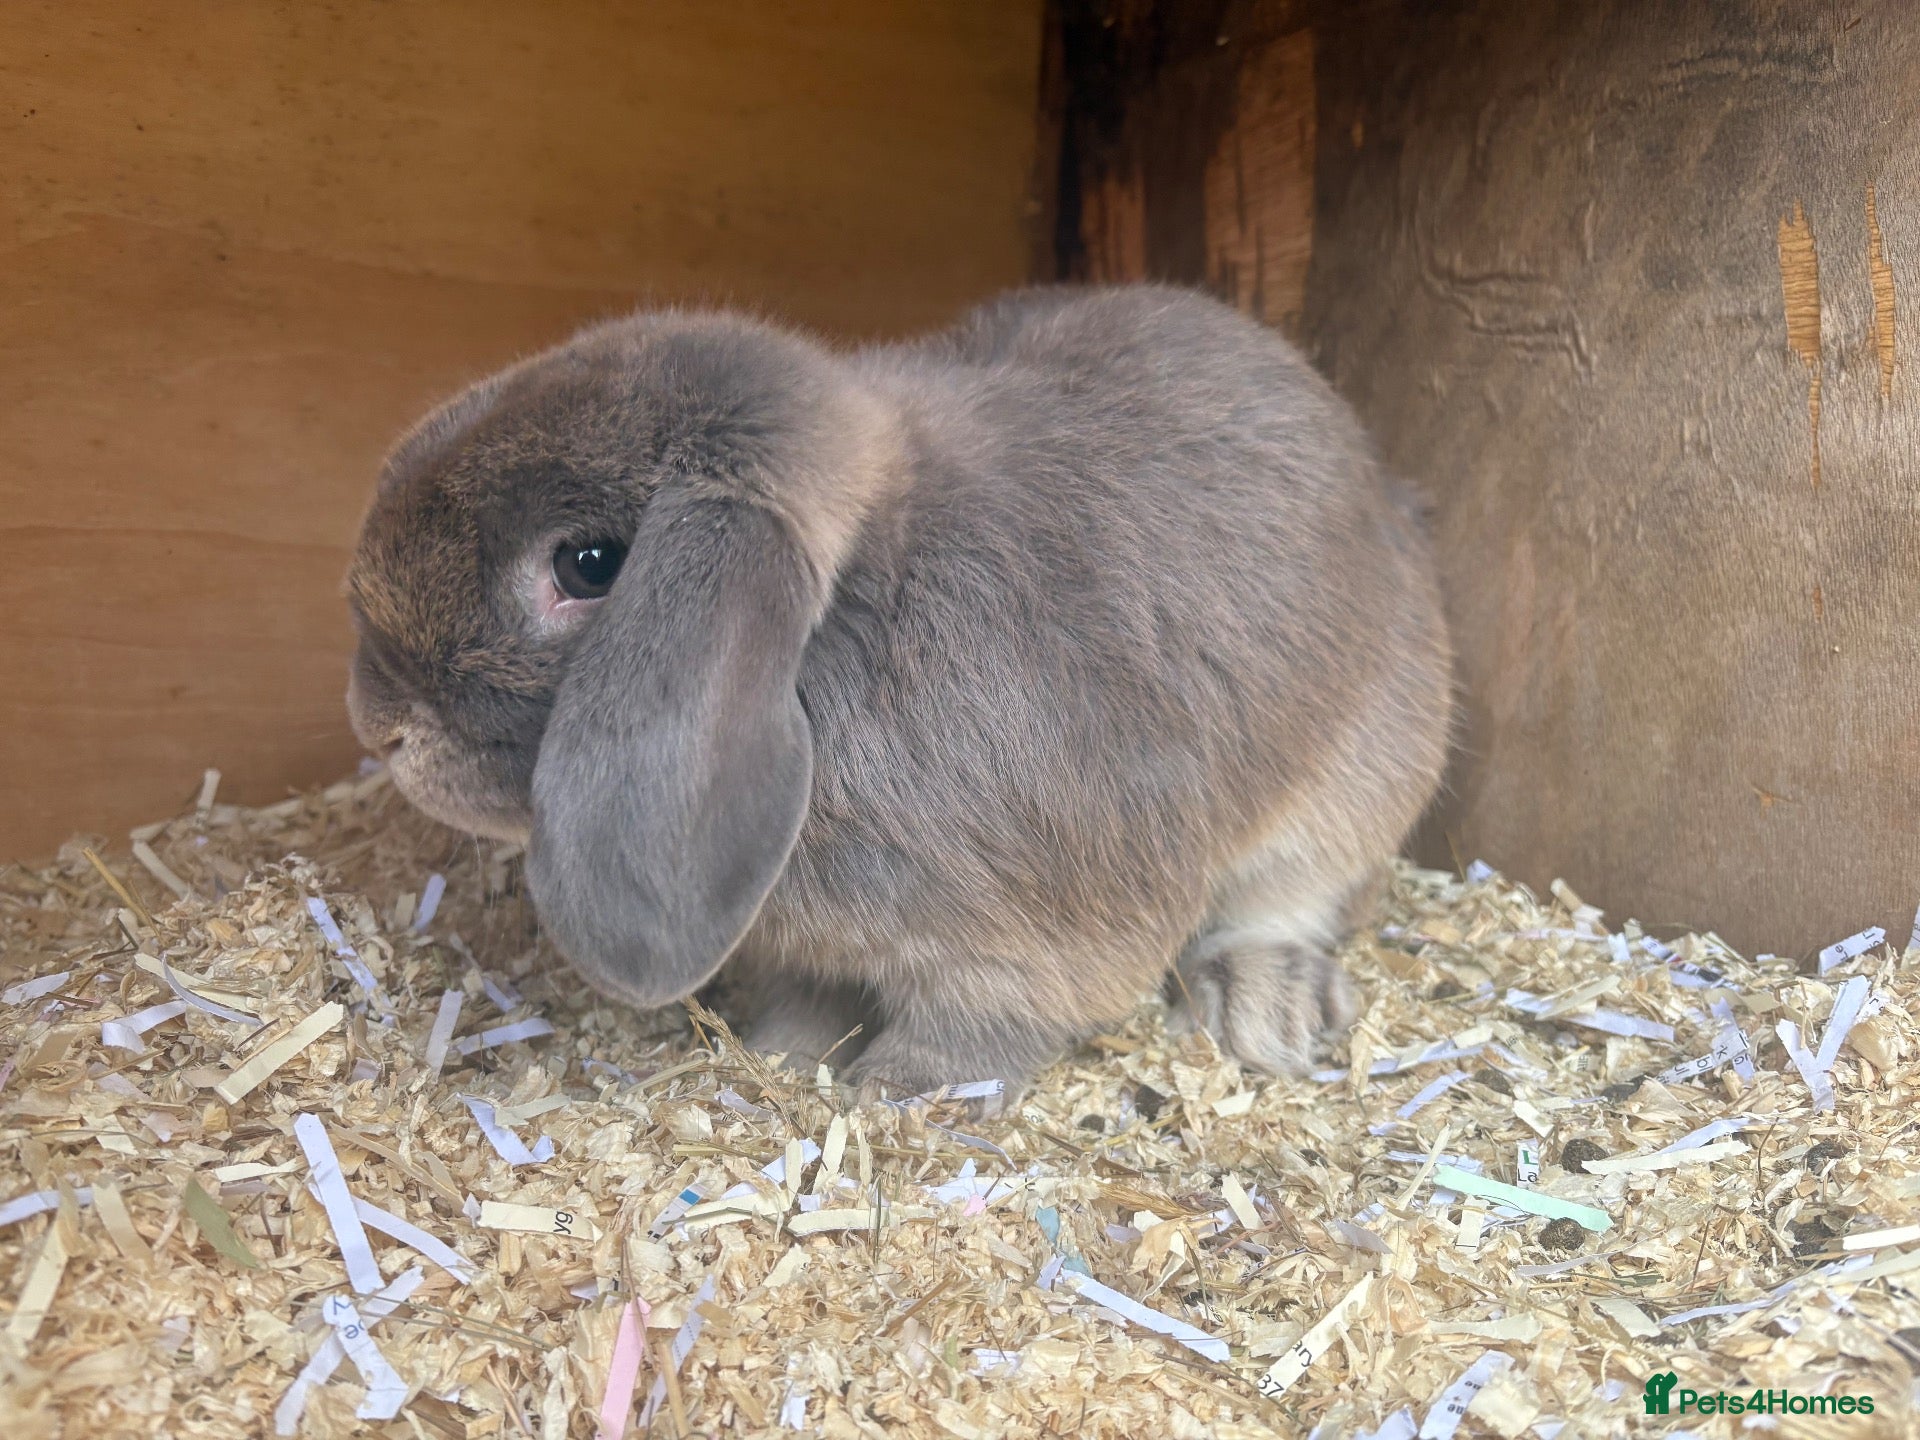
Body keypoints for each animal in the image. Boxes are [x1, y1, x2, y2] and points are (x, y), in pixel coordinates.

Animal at [344, 284, 1453, 1096]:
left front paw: (899, 1092)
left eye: (586, 564)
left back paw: (1262, 1010)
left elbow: (986, 1026)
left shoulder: (1034, 942)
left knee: (1298, 902)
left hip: (1356, 786)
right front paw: (785, 1053)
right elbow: (810, 1000)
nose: (378, 726)